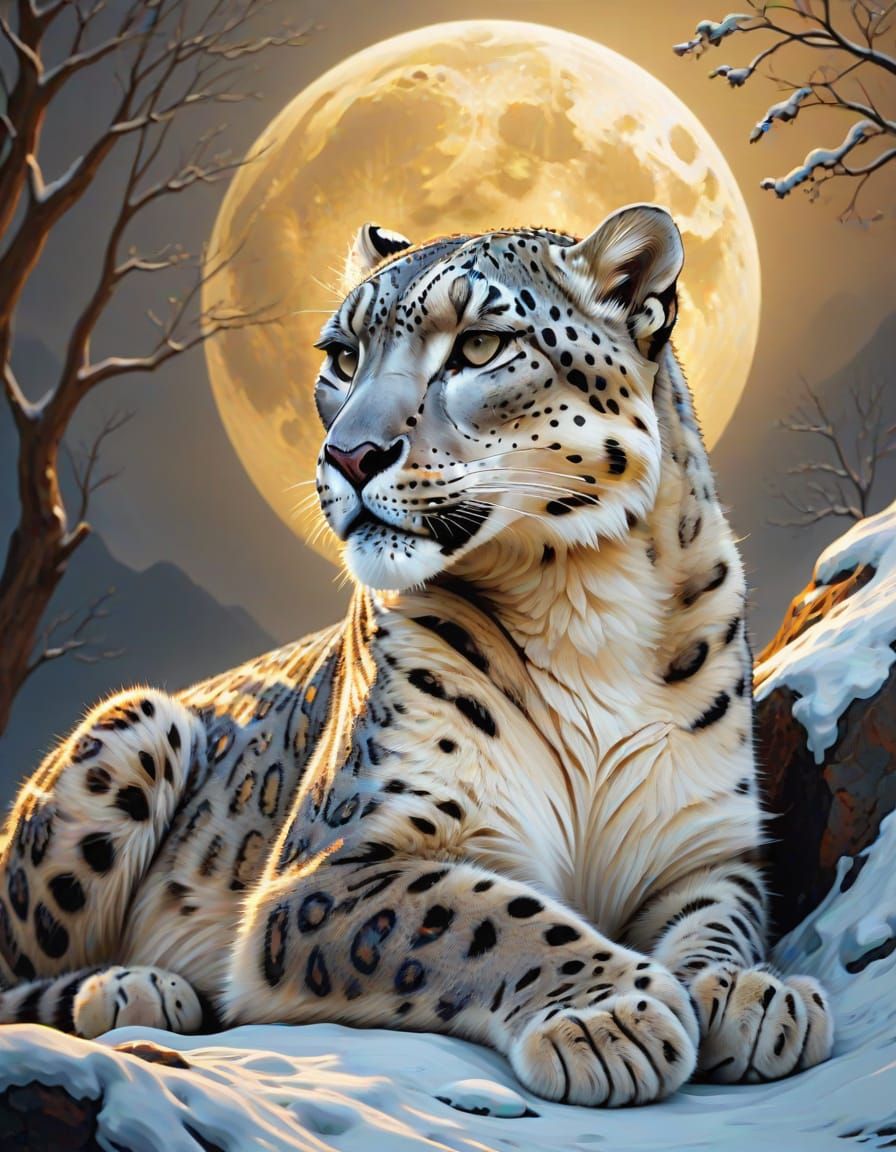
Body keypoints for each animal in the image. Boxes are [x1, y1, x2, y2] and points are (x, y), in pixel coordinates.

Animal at [0, 205, 833, 1107]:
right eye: (343, 356)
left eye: (479, 344)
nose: (348, 455)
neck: (587, 604)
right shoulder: (334, 864)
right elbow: (483, 915)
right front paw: (610, 1014)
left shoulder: (701, 842)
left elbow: (723, 917)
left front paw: (756, 994)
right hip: (135, 727)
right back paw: (132, 987)